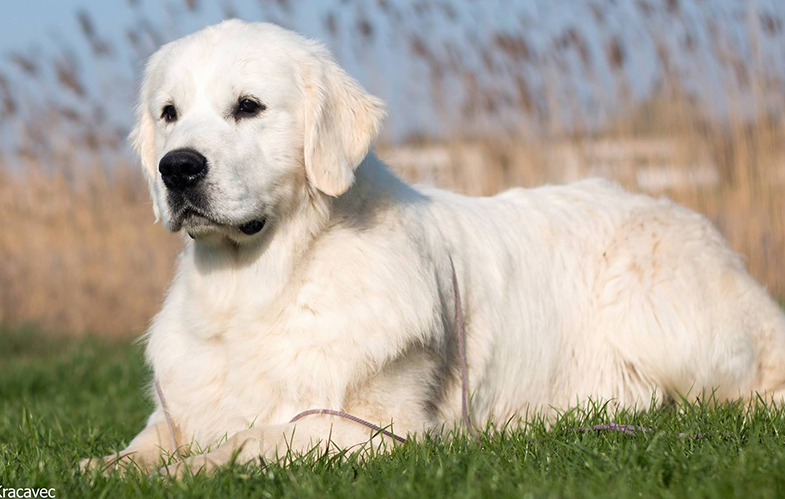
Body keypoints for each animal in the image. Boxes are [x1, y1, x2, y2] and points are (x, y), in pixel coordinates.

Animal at [81, 21, 784, 478]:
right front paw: (106, 466)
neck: (254, 287)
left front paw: (181, 471)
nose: (177, 169)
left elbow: (247, 441)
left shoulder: (369, 427)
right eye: (169, 113)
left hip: (658, 308)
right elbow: (141, 448)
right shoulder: (177, 410)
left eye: (248, 106)